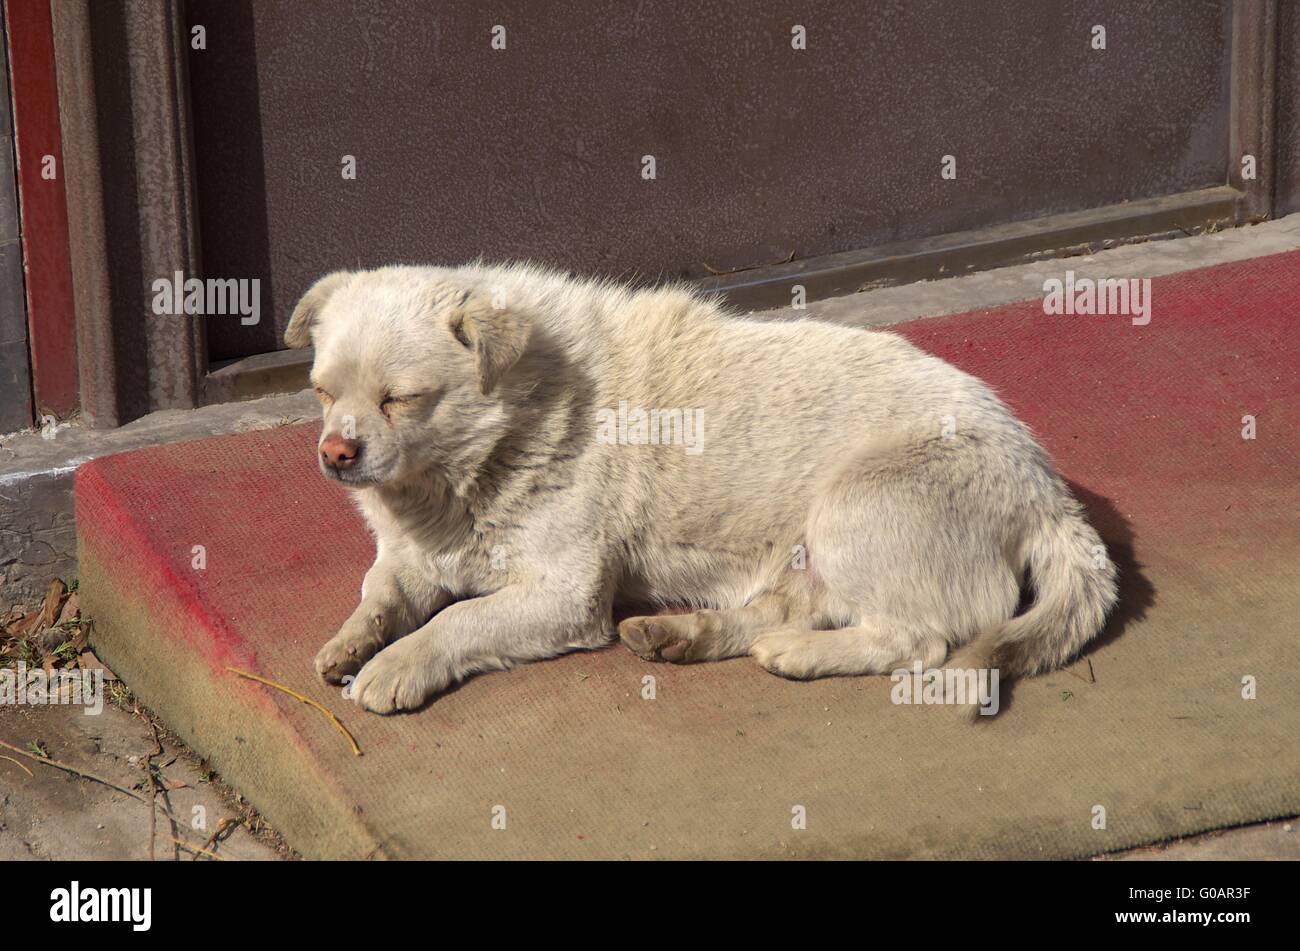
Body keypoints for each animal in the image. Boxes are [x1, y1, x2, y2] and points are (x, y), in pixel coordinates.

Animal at [284, 259, 1118, 711]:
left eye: (399, 399)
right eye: (322, 392)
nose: (336, 453)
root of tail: (1047, 491)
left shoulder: (563, 596)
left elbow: (457, 620)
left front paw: (397, 665)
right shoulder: (414, 556)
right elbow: (382, 593)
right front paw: (354, 639)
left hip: (856, 506)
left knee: (918, 640)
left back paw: (798, 655)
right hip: (808, 553)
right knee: (785, 610)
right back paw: (683, 633)